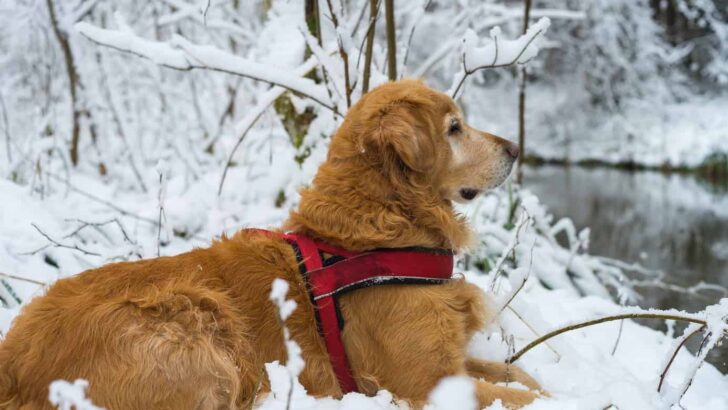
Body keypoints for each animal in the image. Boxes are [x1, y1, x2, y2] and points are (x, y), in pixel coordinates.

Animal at [0, 79, 540, 406]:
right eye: (455, 128)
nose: (517, 148)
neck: (376, 226)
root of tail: (14, 364)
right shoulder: (425, 382)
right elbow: (524, 395)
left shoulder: (452, 359)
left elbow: (517, 375)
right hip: (197, 322)